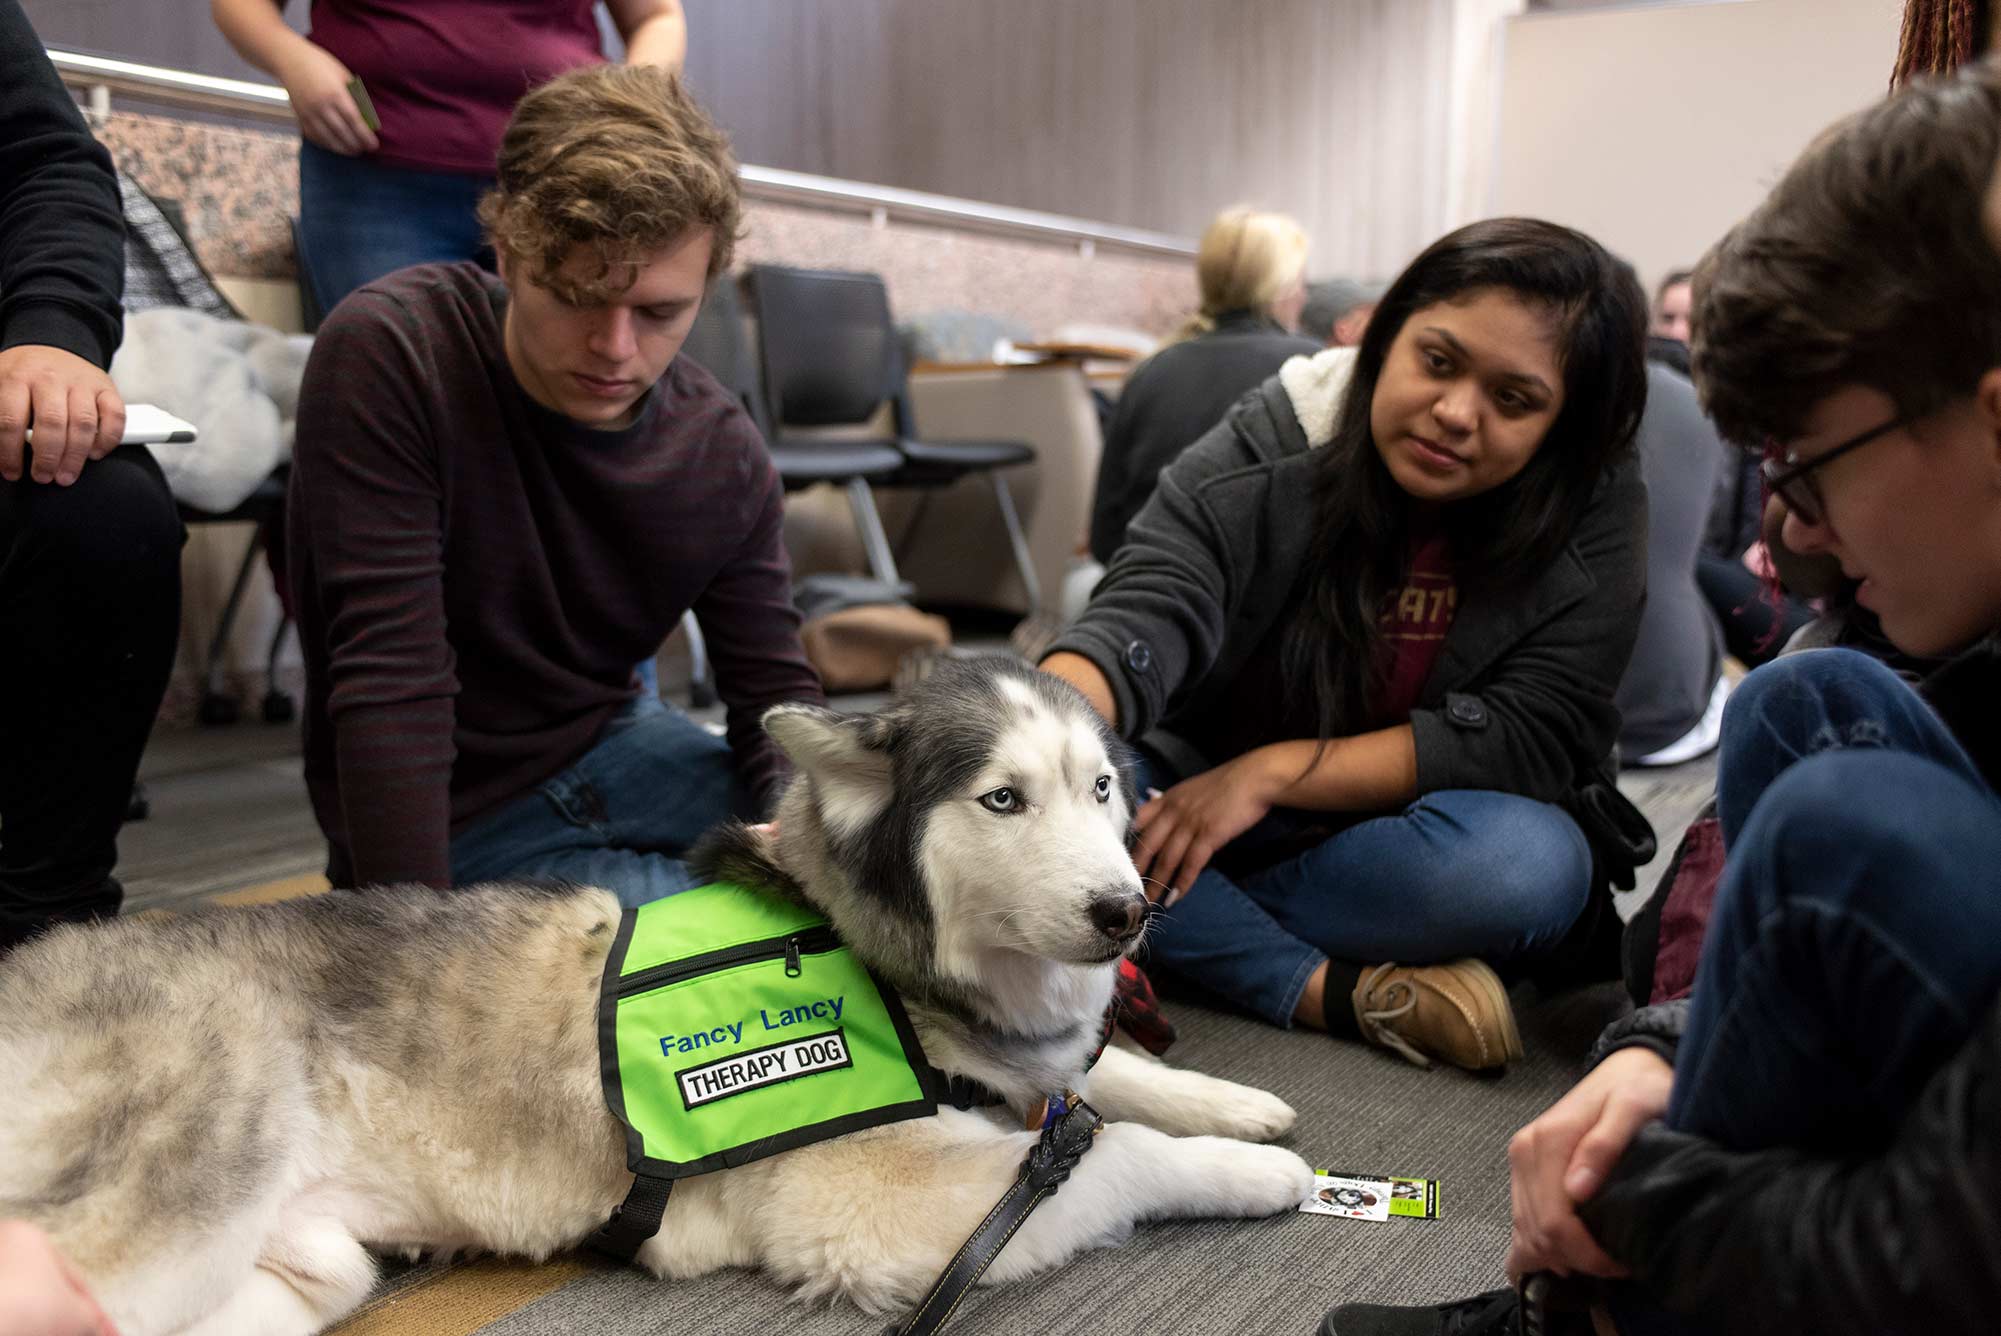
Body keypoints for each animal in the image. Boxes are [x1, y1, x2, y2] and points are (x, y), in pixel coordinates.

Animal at [3, 660, 1312, 1336]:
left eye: (1103, 789)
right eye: (1003, 799)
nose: (1128, 912)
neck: (867, 952)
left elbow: (1104, 1076)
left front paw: (1230, 1101)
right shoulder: (874, 1208)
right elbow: (1119, 1150)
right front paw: (1263, 1176)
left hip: (301, 1267)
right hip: (182, 1192)